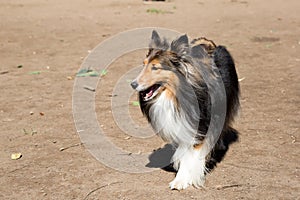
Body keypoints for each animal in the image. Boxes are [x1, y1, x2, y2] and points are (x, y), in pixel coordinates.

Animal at [130, 30, 240, 190]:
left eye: (155, 67)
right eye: (143, 65)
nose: (133, 84)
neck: (175, 96)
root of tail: (212, 45)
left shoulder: (199, 129)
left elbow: (191, 156)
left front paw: (181, 180)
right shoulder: (182, 127)